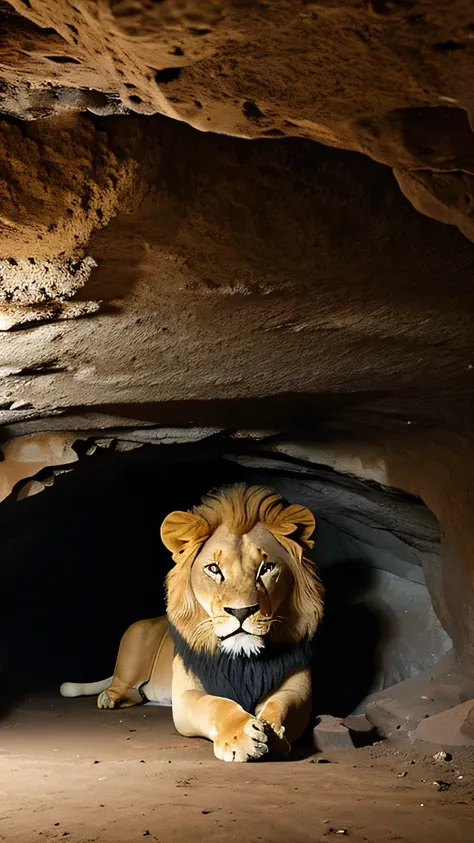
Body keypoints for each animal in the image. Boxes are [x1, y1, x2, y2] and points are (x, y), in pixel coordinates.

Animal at [59, 484, 324, 760]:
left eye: (267, 568)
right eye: (214, 569)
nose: (241, 612)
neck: (242, 660)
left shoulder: (298, 689)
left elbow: (278, 706)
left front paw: (272, 733)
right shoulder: (187, 694)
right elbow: (216, 705)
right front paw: (240, 736)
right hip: (135, 634)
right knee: (122, 684)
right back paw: (108, 698)